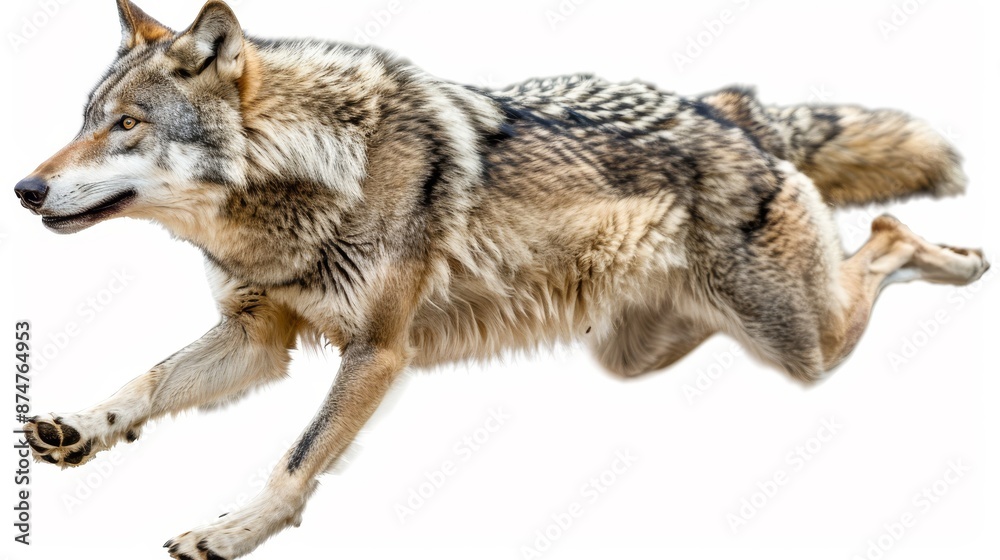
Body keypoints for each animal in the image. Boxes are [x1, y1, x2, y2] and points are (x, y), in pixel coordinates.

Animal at [14, 0, 989, 558]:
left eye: (127, 125)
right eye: (84, 120)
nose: (23, 190)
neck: (314, 174)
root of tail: (729, 108)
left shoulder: (377, 349)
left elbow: (295, 459)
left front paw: (228, 533)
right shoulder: (259, 337)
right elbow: (147, 382)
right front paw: (81, 428)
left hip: (797, 344)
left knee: (887, 235)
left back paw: (963, 260)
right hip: (638, 352)